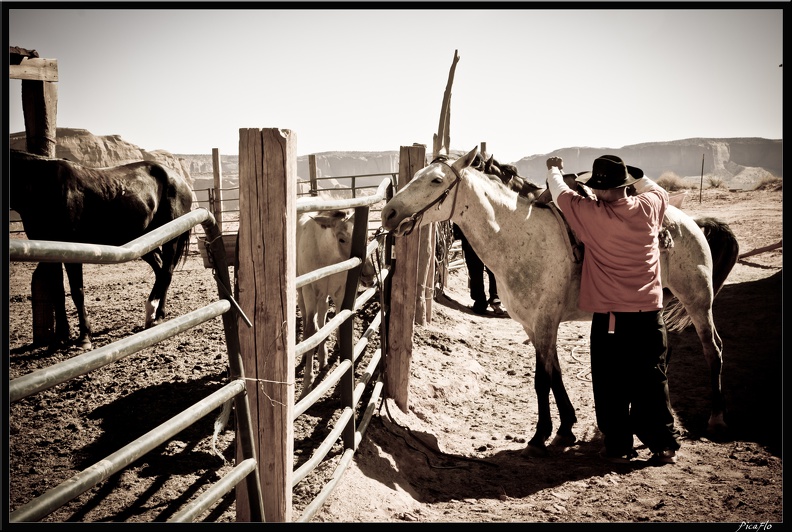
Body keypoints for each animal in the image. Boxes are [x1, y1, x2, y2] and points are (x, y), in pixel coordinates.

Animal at [12, 150, 193, 350]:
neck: (43, 185)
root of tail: (180, 180)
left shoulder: (73, 252)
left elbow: (77, 291)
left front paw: (84, 338)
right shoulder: (50, 253)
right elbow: (57, 292)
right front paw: (61, 337)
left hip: (171, 237)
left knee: (167, 272)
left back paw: (158, 315)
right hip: (147, 242)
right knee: (161, 270)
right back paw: (152, 313)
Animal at [296, 210, 376, 396]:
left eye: (365, 236)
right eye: (342, 239)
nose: (369, 275)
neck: (327, 256)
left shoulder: (339, 292)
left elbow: (339, 321)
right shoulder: (310, 291)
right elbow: (311, 330)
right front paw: (307, 384)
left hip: (324, 296)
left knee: (322, 316)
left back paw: (323, 357)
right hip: (304, 292)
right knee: (307, 316)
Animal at [380, 147, 740, 458]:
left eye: (436, 180)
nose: (388, 213)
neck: (518, 236)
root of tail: (693, 224)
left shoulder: (545, 320)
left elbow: (542, 379)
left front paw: (541, 435)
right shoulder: (533, 324)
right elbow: (555, 373)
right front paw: (566, 428)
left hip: (698, 301)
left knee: (713, 349)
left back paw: (716, 419)